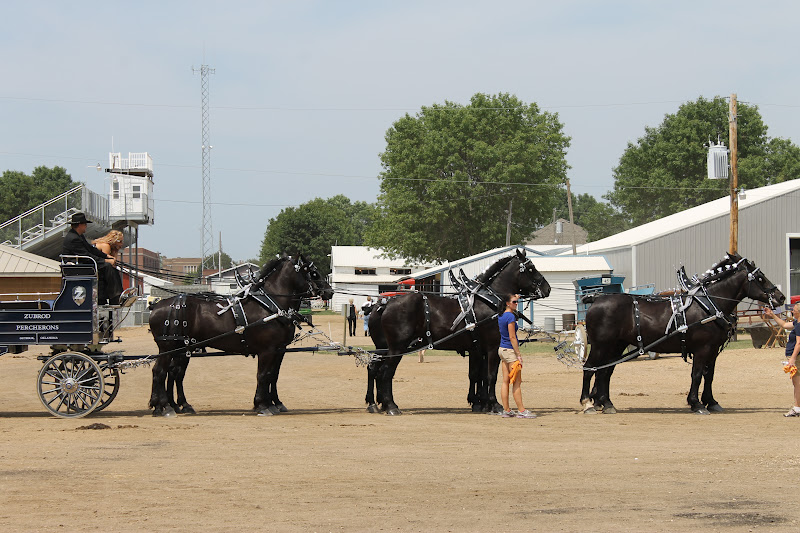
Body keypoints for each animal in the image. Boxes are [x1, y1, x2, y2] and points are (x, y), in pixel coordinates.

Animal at [148, 254, 334, 416]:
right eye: (313, 273)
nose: (330, 292)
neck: (270, 306)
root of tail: (156, 306)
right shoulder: (268, 350)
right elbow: (263, 375)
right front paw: (263, 405)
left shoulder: (279, 350)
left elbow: (272, 375)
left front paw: (274, 403)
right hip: (168, 347)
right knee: (161, 371)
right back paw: (165, 407)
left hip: (182, 348)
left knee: (173, 373)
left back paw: (171, 405)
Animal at [366, 249, 551, 415]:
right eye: (531, 268)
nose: (547, 288)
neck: (489, 301)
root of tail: (385, 303)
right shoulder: (492, 347)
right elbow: (491, 376)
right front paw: (494, 405)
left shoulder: (477, 349)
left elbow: (477, 375)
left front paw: (479, 403)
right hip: (397, 347)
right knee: (386, 372)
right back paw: (391, 406)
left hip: (385, 347)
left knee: (374, 368)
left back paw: (375, 404)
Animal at [581, 252, 785, 415]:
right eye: (760, 278)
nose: (781, 297)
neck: (709, 305)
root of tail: (596, 300)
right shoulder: (703, 348)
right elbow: (697, 374)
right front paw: (697, 404)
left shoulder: (713, 350)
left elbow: (709, 375)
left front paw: (711, 402)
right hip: (600, 345)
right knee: (590, 368)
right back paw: (587, 403)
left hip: (616, 346)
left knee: (604, 372)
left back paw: (606, 403)